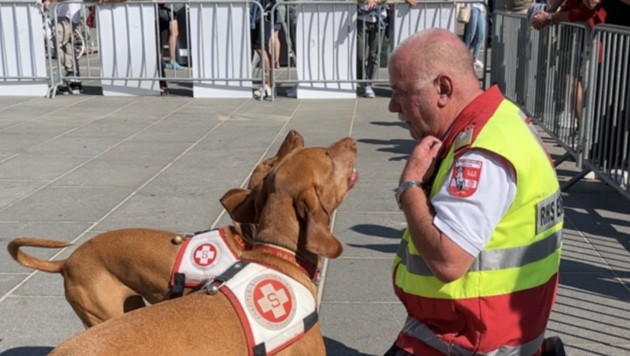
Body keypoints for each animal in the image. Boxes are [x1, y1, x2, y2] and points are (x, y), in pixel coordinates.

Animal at [7, 130, 306, 328]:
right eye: (270, 163)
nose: (293, 132)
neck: (247, 241)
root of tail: (67, 261)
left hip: (131, 304)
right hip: (104, 314)